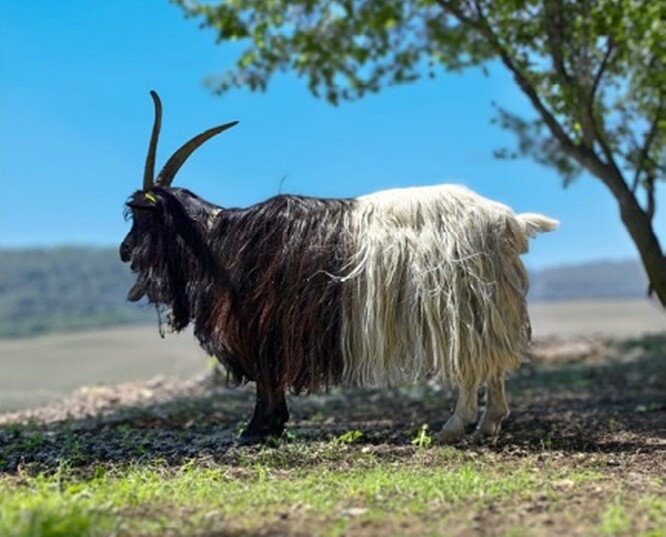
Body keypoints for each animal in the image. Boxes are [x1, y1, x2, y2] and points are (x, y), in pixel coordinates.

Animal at [119, 92, 556, 444]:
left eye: (141, 216)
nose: (124, 251)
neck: (216, 240)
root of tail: (508, 222)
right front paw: (270, 427)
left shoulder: (261, 324)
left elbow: (266, 378)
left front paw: (258, 429)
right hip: (486, 305)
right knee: (492, 362)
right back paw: (489, 424)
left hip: (460, 303)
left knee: (471, 363)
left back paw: (454, 427)